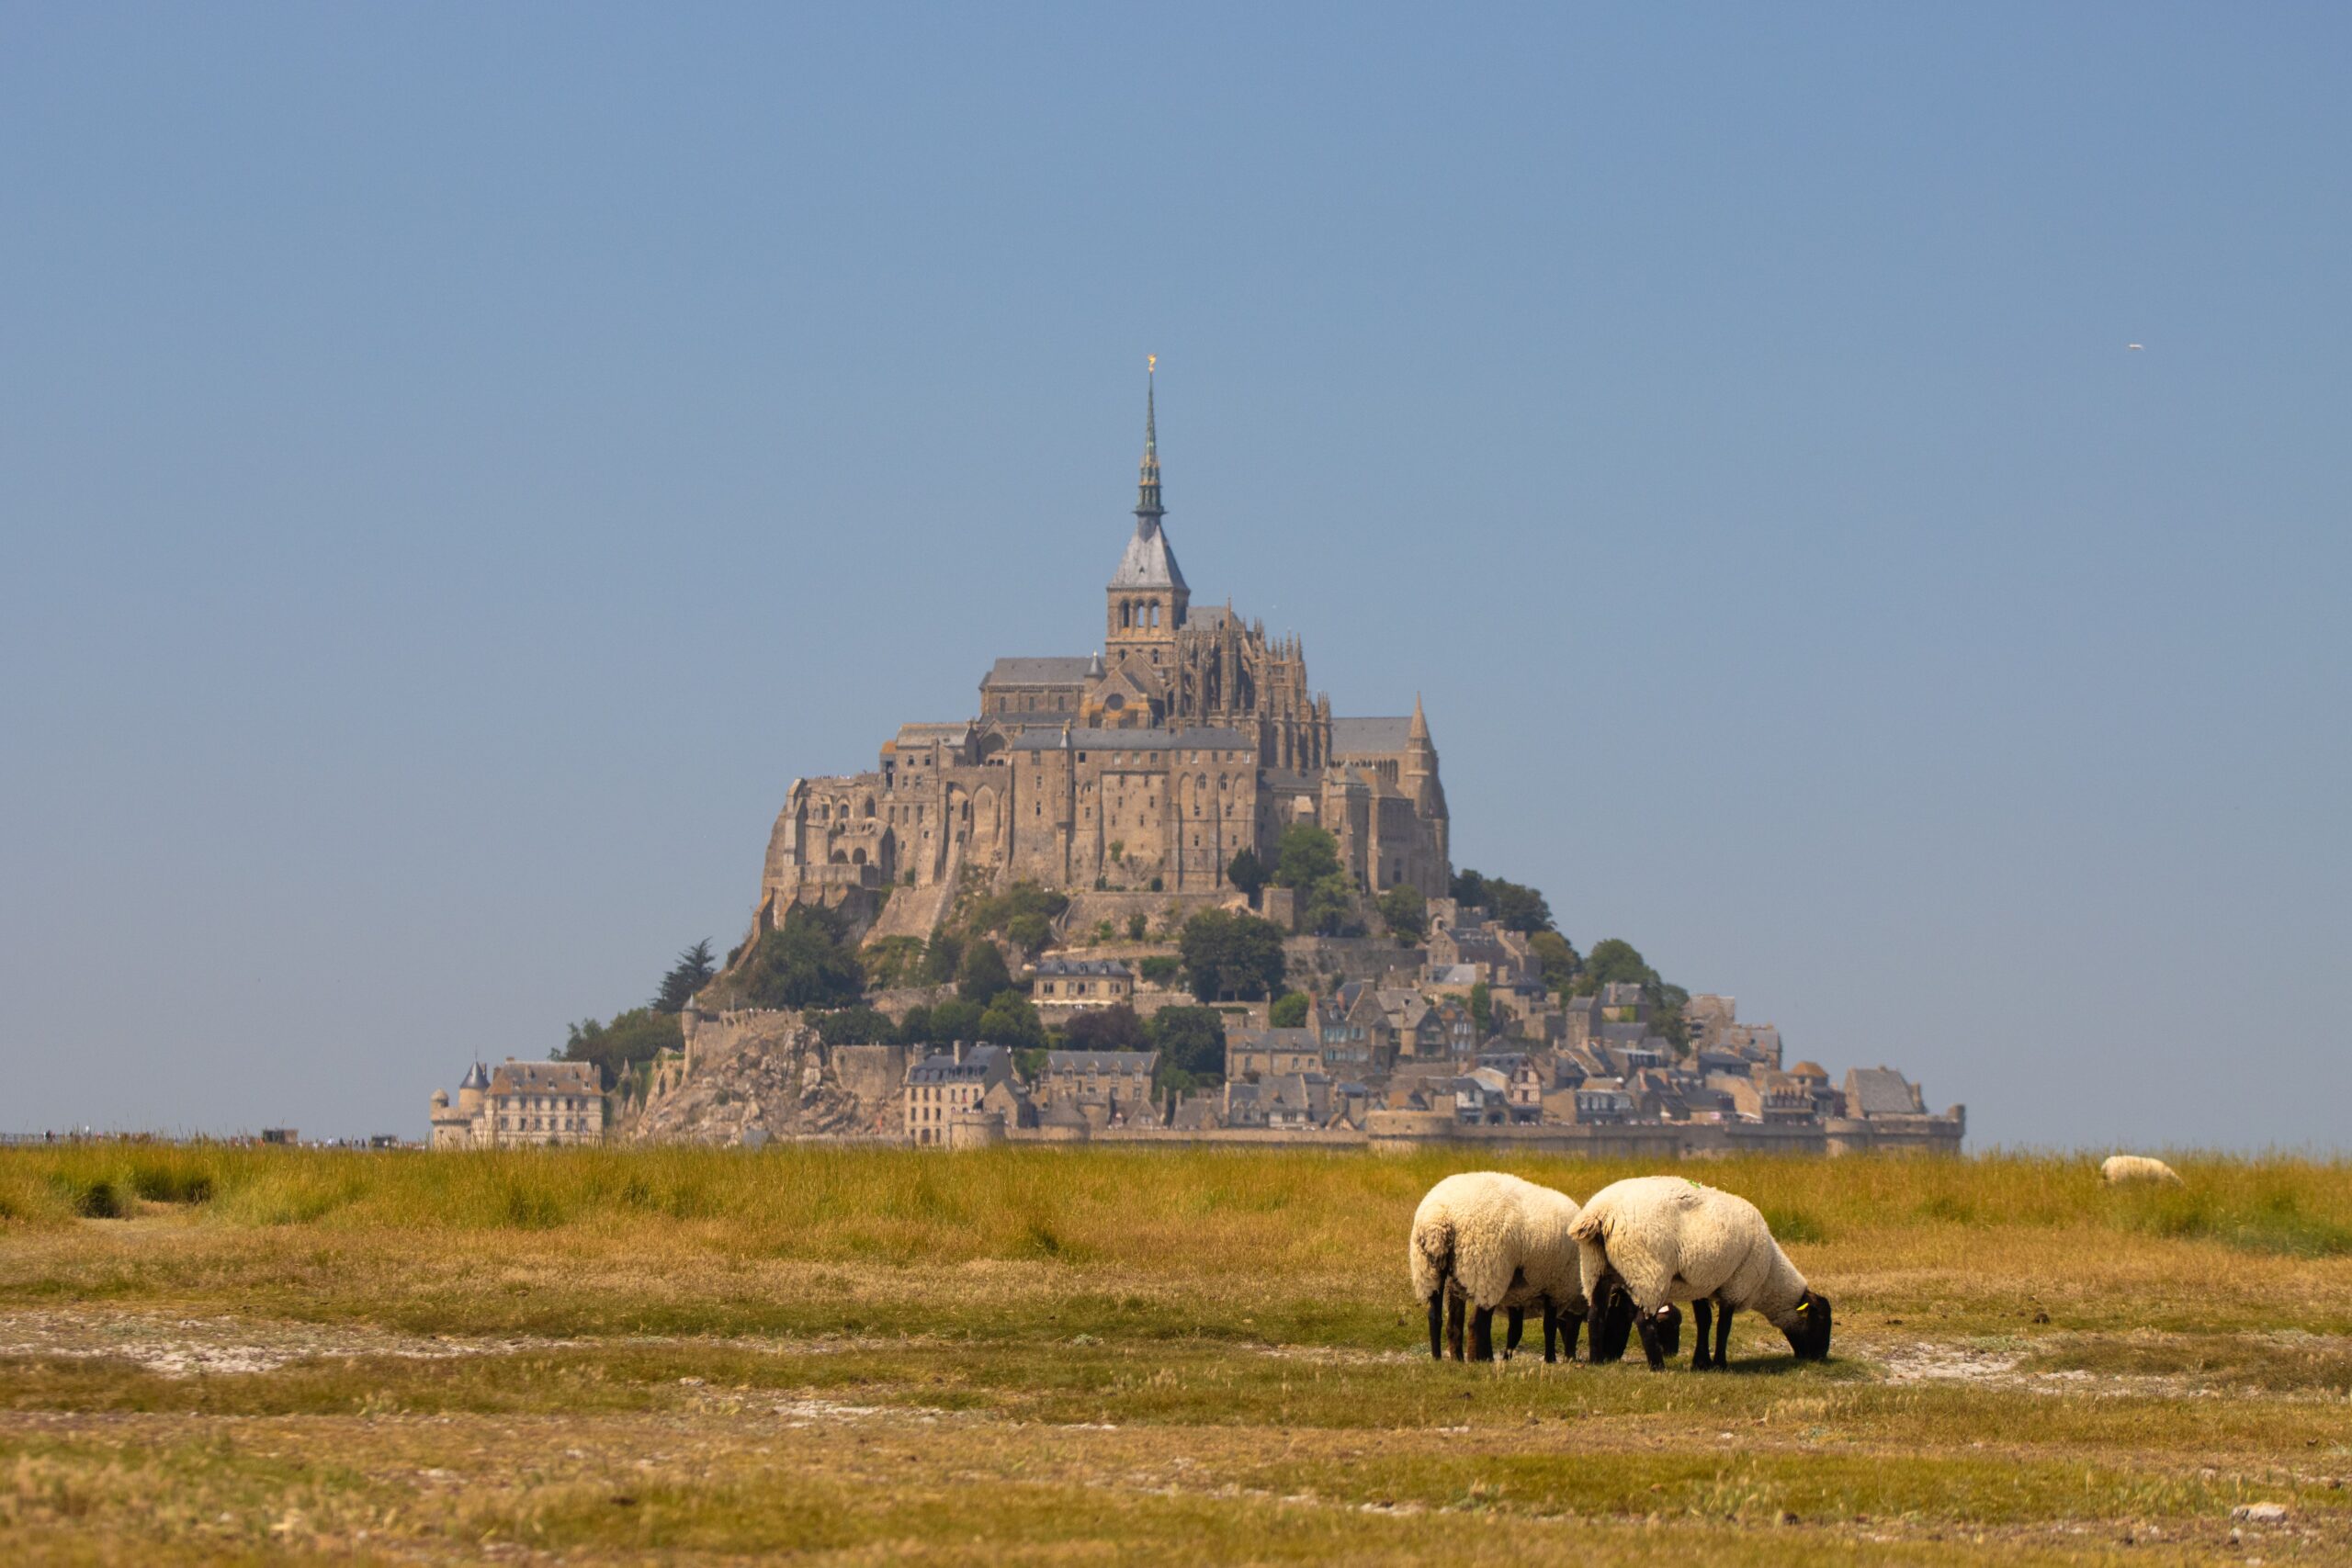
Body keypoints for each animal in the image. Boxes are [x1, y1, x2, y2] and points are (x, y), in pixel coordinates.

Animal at [1408, 1171, 1596, 1364]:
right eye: (1576, 1322)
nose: (1571, 1357)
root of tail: (1439, 1218)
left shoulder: (1520, 1296)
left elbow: (1515, 1330)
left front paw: (1507, 1357)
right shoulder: (1555, 1288)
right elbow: (1548, 1326)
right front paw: (1550, 1359)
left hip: (1431, 1272)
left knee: (1442, 1319)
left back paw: (1447, 1358)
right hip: (1486, 1272)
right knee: (1477, 1323)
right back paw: (1484, 1359)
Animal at [1569, 1175, 1831, 1371]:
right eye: (1820, 1319)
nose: (1820, 1357)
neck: (1769, 1278)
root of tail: (1602, 1213)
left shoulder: (1703, 1283)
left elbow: (1704, 1321)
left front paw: (1701, 1363)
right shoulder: (1735, 1285)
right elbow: (1724, 1325)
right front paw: (1720, 1364)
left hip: (1594, 1267)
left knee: (1596, 1314)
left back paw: (1597, 1361)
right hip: (1648, 1270)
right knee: (1644, 1320)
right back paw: (1658, 1366)